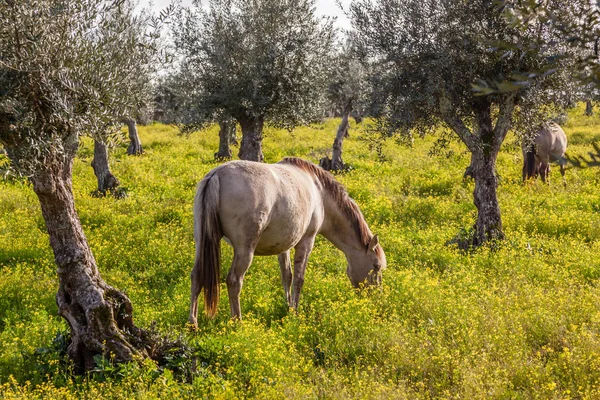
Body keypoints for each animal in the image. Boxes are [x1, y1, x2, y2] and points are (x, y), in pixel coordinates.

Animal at [190, 155, 386, 324]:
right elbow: (299, 279)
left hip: (202, 242)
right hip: (245, 249)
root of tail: (217, 175)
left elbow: (287, 276)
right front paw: (296, 311)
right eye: (376, 266)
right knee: (234, 281)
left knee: (196, 276)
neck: (319, 193)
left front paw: (288, 306)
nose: (377, 299)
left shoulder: (283, 245)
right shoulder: (307, 241)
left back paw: (193, 323)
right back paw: (238, 322)